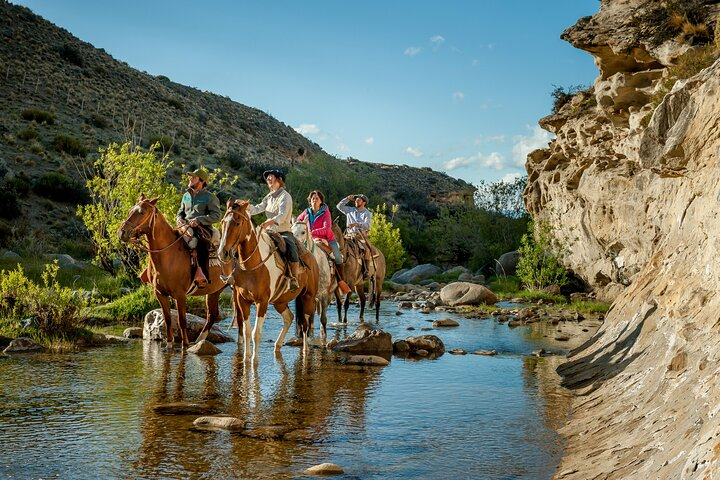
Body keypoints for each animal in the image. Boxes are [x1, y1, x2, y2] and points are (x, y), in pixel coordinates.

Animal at [118, 194, 231, 348]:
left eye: (141, 212)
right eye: (130, 210)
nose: (122, 232)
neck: (167, 254)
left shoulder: (180, 295)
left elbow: (182, 321)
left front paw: (185, 345)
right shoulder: (160, 294)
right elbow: (167, 319)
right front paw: (169, 344)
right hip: (215, 290)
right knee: (212, 315)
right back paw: (199, 340)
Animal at [215, 198, 320, 360]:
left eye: (237, 223)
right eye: (222, 222)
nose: (222, 253)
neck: (253, 265)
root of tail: (311, 257)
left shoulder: (262, 302)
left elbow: (256, 334)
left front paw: (254, 361)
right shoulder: (242, 300)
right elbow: (246, 331)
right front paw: (246, 358)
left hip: (308, 297)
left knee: (305, 325)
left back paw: (305, 350)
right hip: (279, 302)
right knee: (289, 318)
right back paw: (277, 346)